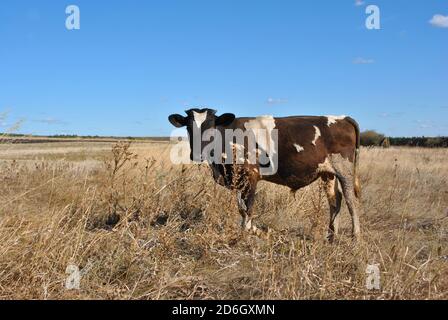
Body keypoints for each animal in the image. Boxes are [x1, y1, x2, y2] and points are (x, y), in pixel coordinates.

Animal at [169, 109, 364, 241]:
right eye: (188, 127)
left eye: (211, 127)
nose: (197, 153)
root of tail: (342, 117)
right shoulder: (238, 181)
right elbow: (241, 208)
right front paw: (250, 229)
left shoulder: (251, 177)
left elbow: (248, 207)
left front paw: (247, 232)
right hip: (328, 173)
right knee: (335, 201)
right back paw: (331, 236)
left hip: (345, 170)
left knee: (350, 201)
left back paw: (355, 237)